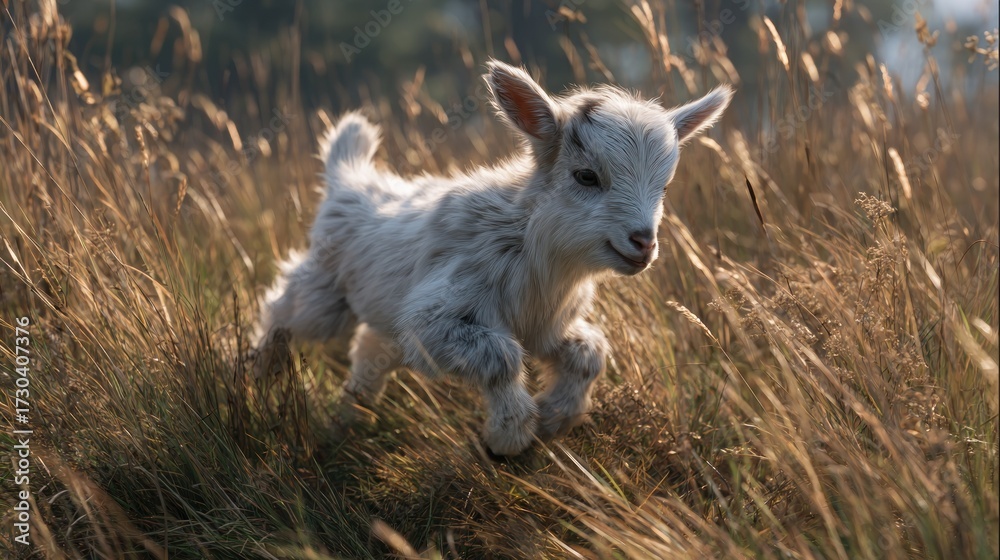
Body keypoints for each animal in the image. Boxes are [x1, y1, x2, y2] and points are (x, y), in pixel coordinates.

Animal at [255, 60, 732, 456]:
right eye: (586, 176)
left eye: (664, 187)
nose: (643, 242)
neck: (532, 242)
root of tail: (349, 181)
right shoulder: (435, 320)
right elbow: (502, 355)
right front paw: (511, 435)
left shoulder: (546, 325)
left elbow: (590, 352)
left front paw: (556, 416)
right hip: (324, 291)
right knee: (282, 310)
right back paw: (257, 373)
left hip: (382, 314)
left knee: (369, 349)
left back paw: (349, 418)